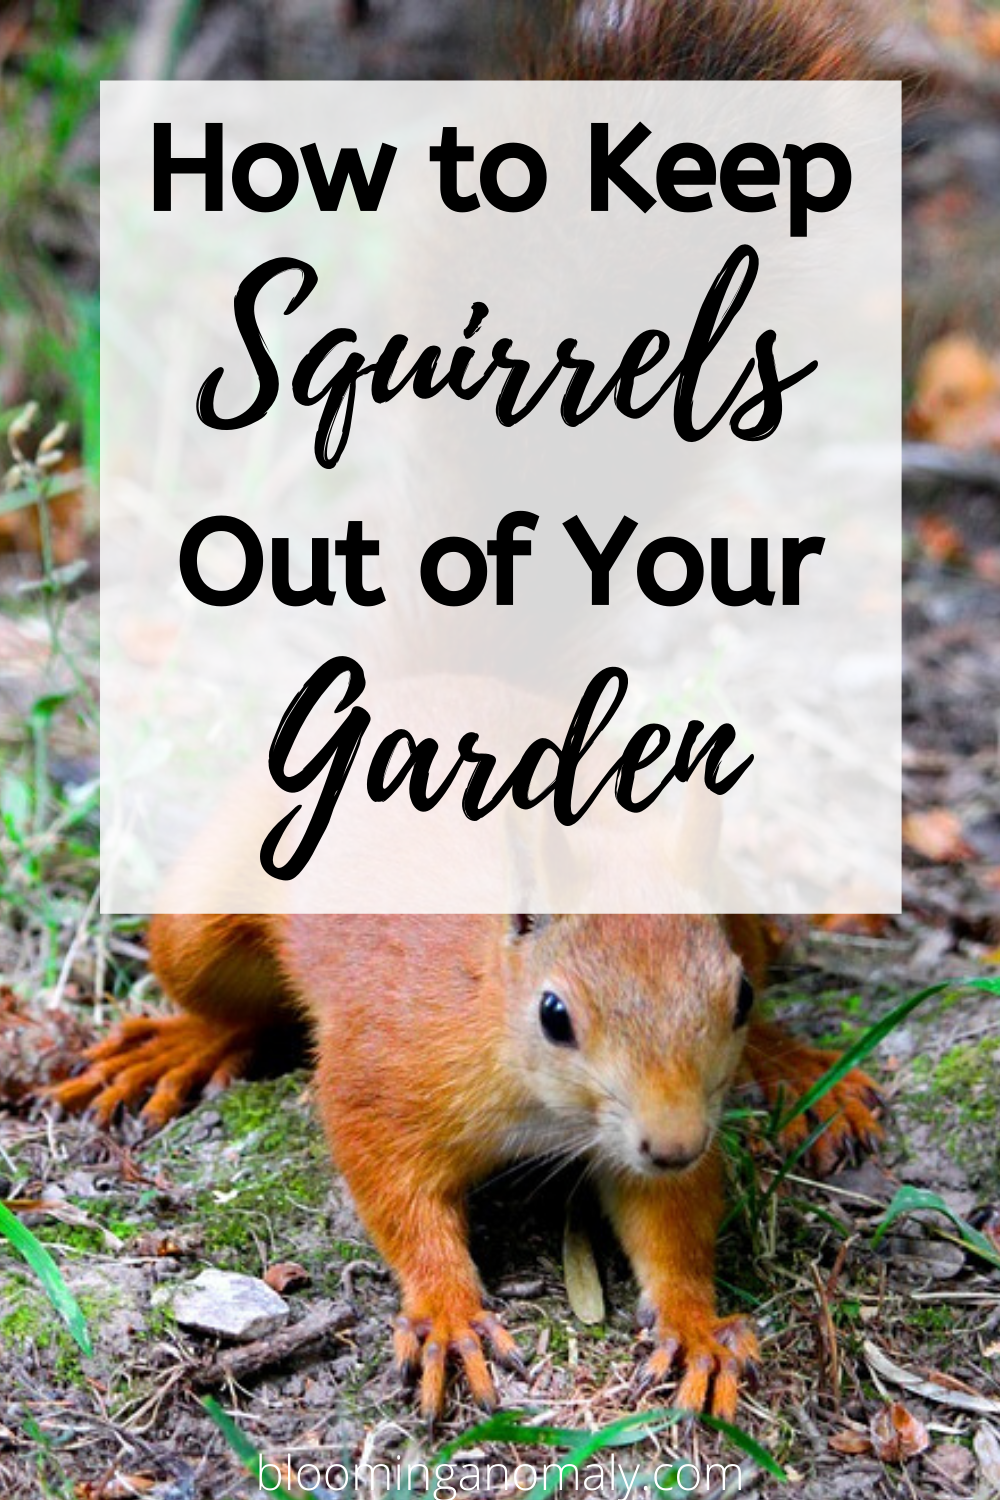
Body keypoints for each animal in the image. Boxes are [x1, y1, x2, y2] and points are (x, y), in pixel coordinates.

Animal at [50, 0, 887, 1425]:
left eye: (717, 996)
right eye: (555, 1013)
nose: (674, 1133)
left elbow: (673, 1224)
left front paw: (698, 1318)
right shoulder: (391, 1071)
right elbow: (389, 1186)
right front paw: (444, 1309)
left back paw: (797, 1069)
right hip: (208, 906)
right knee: (224, 988)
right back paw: (177, 1042)